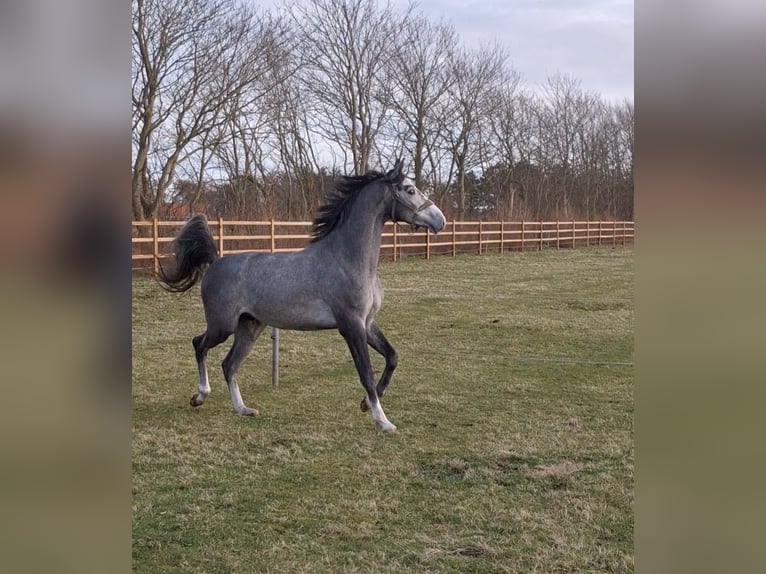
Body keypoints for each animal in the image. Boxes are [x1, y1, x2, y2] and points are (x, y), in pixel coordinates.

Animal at [159, 160, 448, 434]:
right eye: (410, 189)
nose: (440, 220)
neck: (349, 259)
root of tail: (215, 261)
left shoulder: (367, 323)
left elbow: (392, 357)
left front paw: (366, 404)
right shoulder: (351, 326)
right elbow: (365, 373)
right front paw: (383, 421)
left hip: (250, 328)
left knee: (229, 364)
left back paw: (243, 409)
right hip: (222, 326)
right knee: (199, 344)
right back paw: (200, 396)